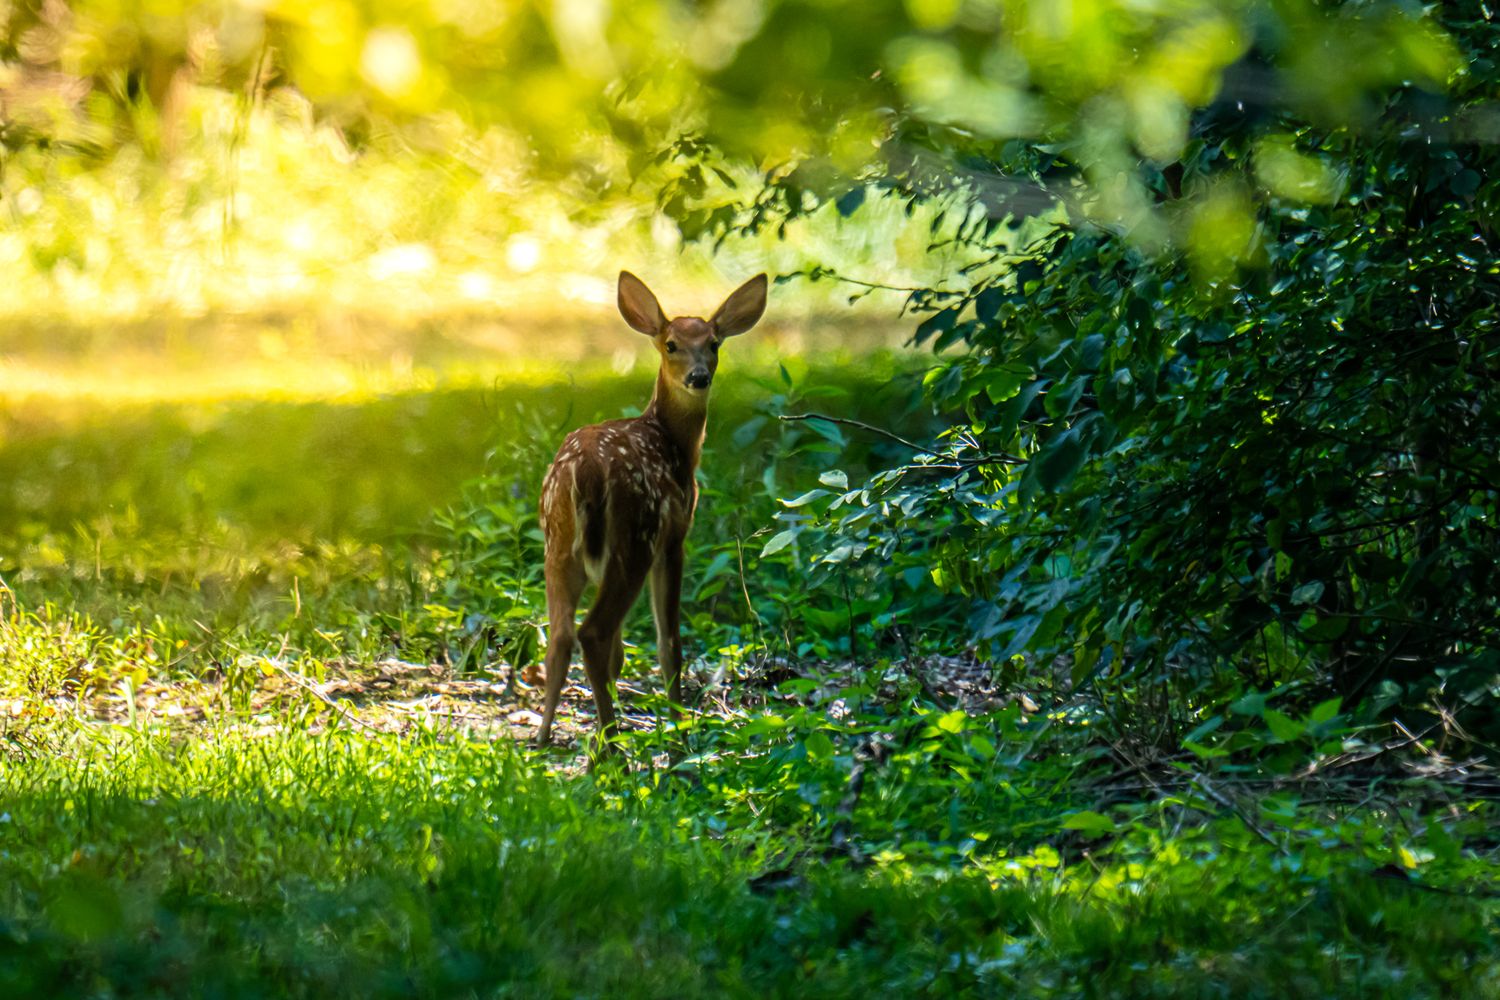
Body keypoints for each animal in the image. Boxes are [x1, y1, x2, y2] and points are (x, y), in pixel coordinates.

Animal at [535, 271, 768, 749]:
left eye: (713, 343)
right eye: (671, 344)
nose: (699, 377)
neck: (675, 445)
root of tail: (586, 470)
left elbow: (621, 653)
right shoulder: (675, 538)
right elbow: (669, 642)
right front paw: (679, 728)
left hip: (559, 544)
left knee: (562, 636)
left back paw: (548, 736)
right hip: (634, 537)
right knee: (593, 632)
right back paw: (611, 748)